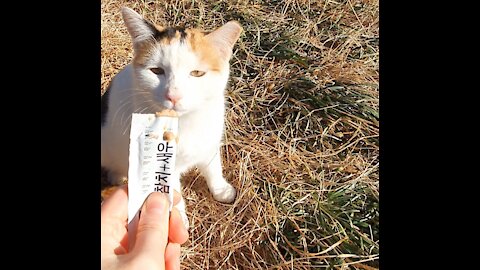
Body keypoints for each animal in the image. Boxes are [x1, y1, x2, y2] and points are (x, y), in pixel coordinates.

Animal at [101, 7, 244, 228]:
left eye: (197, 73)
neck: (185, 123)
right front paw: (177, 218)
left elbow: (213, 167)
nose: (173, 95)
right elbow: (172, 192)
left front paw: (221, 189)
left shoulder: (209, 141)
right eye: (156, 70)